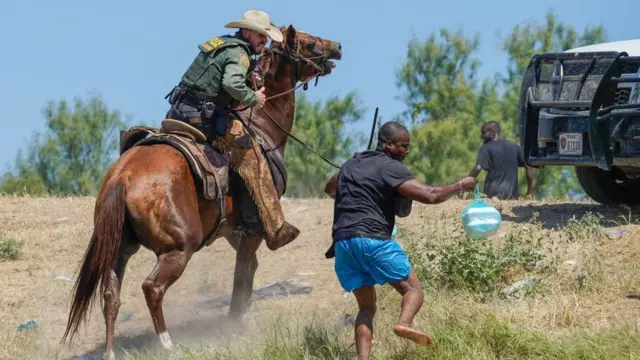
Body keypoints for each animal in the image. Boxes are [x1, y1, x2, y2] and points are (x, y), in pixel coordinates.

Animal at [62, 25, 342, 360]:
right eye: (310, 42)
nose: (338, 47)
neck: (262, 125)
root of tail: (123, 176)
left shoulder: (234, 231)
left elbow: (248, 272)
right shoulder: (253, 230)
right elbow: (241, 276)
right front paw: (234, 325)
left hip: (120, 248)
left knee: (110, 294)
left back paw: (110, 352)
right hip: (179, 248)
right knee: (152, 287)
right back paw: (167, 343)